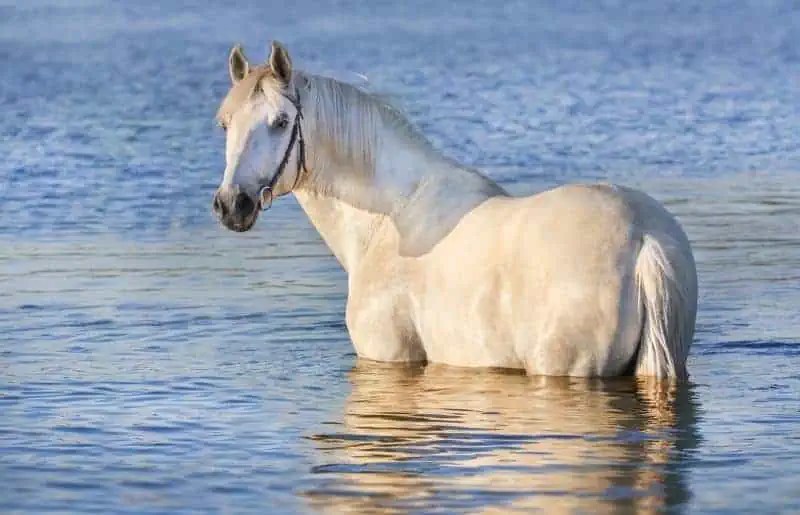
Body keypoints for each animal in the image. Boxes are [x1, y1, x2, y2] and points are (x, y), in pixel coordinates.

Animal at [211, 41, 698, 379]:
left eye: (280, 122)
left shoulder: (390, 357)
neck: (389, 219)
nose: (232, 205)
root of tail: (644, 238)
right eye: (224, 123)